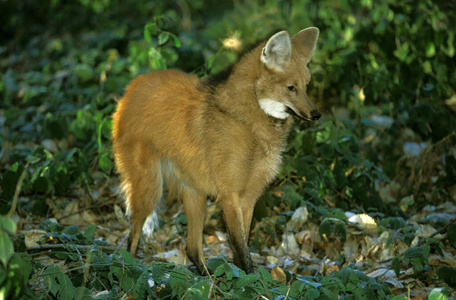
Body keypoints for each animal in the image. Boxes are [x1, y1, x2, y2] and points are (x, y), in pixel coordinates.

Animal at [112, 27, 320, 274]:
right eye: (291, 88)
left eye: (306, 86)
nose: (316, 115)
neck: (248, 124)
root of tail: (131, 87)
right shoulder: (230, 196)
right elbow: (242, 250)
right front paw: (252, 280)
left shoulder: (248, 197)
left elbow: (242, 245)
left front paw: (241, 278)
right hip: (150, 188)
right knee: (133, 236)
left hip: (195, 192)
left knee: (191, 247)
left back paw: (208, 277)